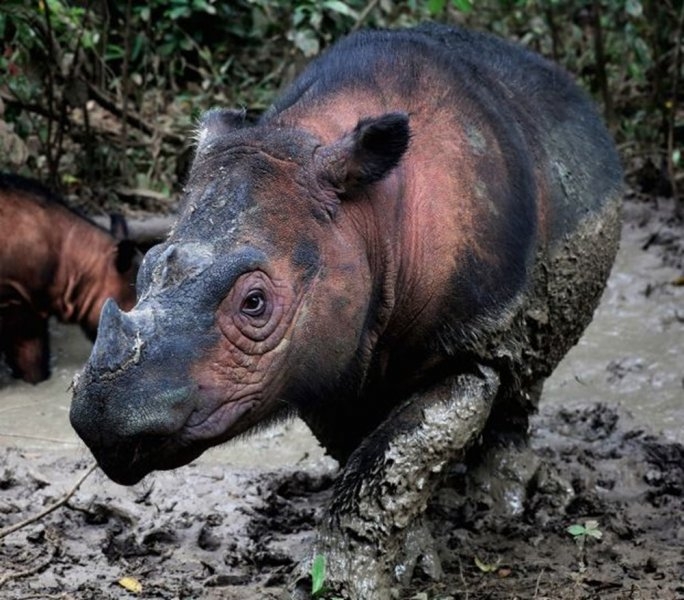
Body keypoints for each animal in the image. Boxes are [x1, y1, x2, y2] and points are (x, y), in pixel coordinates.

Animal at [68, 22, 620, 596]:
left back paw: (502, 507)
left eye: (255, 303)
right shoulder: (320, 354)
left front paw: (344, 584)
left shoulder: (468, 337)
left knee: (524, 363)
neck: (367, 219)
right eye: (147, 270)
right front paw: (407, 556)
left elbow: (393, 451)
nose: (102, 421)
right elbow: (375, 458)